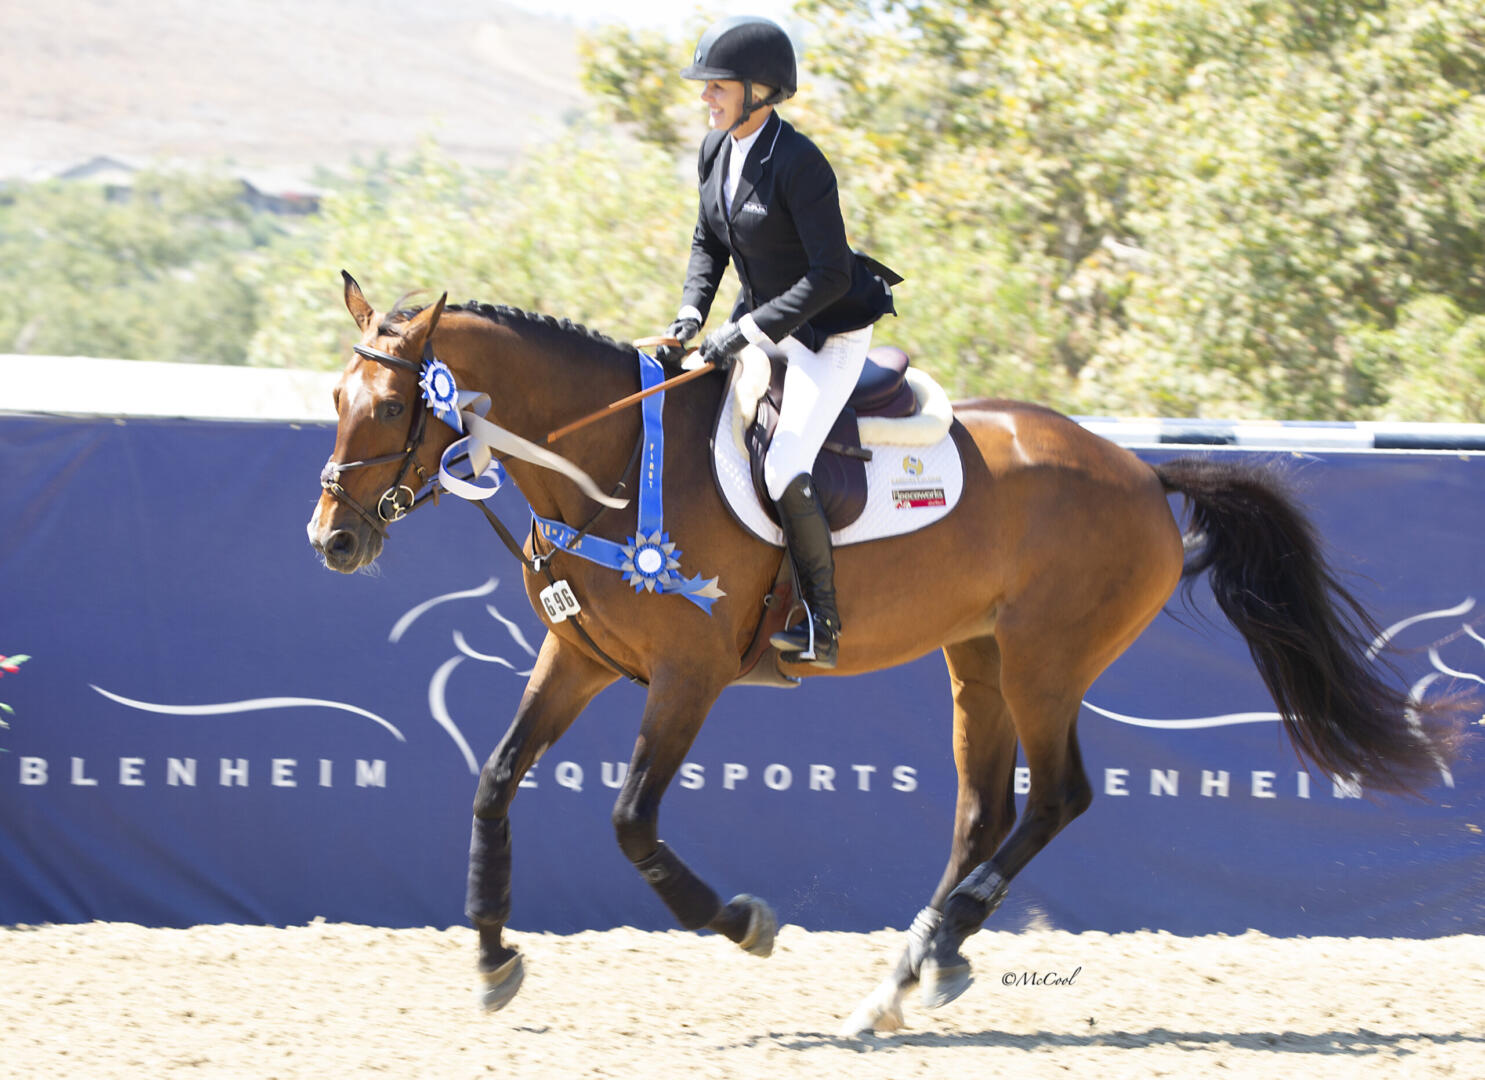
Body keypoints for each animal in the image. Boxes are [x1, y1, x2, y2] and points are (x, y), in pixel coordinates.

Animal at [304, 274, 1461, 1033]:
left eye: (396, 406)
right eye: (335, 400)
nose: (333, 542)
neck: (613, 463)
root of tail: (1140, 470)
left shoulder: (690, 676)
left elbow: (631, 820)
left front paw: (740, 922)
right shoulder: (577, 658)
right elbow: (494, 782)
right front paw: (493, 959)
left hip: (1045, 663)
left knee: (1056, 799)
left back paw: (921, 962)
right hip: (977, 662)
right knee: (983, 811)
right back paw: (909, 976)